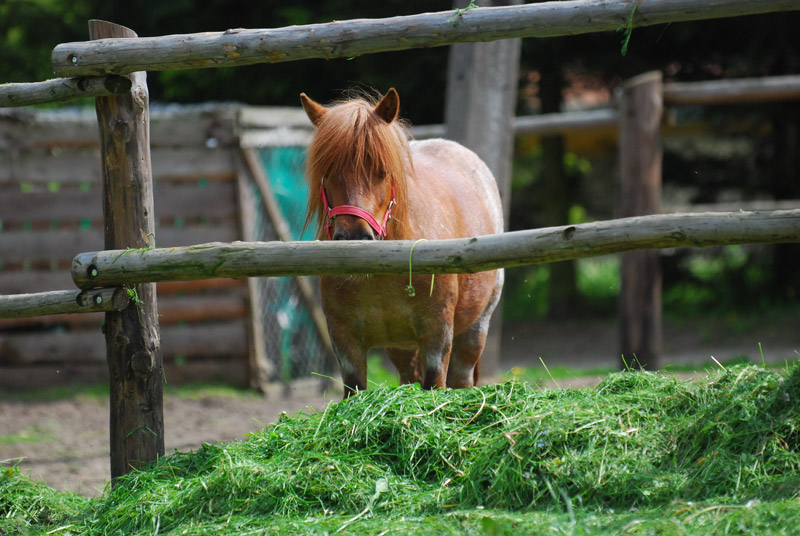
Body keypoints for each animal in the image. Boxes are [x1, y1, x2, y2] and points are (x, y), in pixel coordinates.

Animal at [296, 89, 504, 398]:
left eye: (382, 171)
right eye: (327, 172)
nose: (354, 237)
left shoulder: (437, 335)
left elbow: (435, 383)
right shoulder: (344, 340)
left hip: (475, 329)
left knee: (462, 378)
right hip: (400, 346)